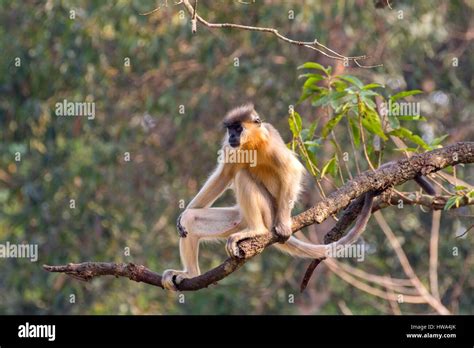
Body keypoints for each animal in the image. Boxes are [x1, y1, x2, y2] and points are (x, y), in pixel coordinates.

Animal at [162, 104, 378, 290]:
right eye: (230, 129)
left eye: (238, 128)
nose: (232, 135)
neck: (252, 143)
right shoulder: (231, 147)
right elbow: (223, 176)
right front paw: (183, 215)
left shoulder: (270, 141)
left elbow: (292, 171)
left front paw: (283, 225)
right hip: (238, 218)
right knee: (193, 219)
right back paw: (191, 273)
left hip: (268, 212)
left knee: (243, 176)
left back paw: (257, 230)